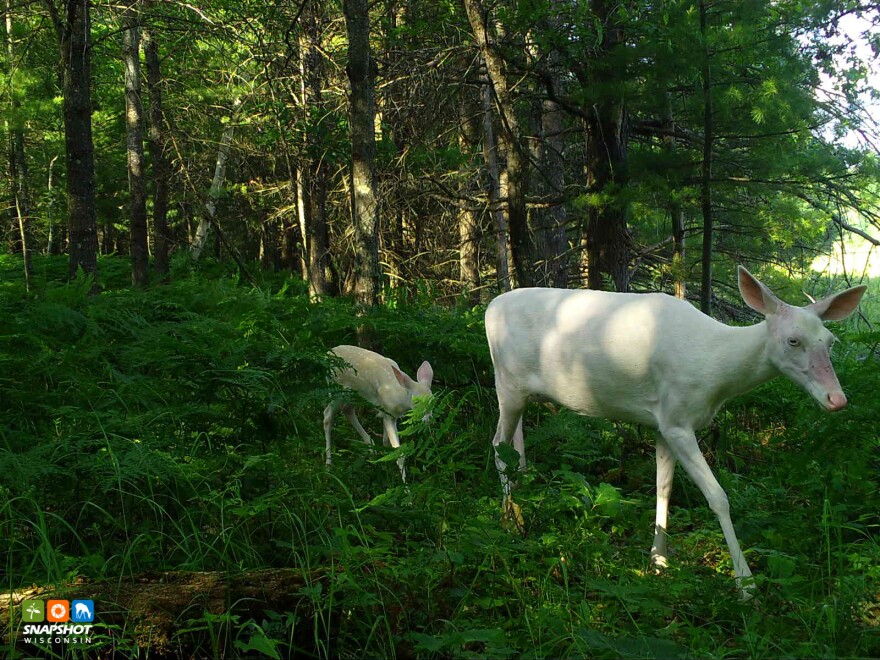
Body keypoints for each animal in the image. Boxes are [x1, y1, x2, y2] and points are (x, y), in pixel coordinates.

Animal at [324, 344, 434, 482]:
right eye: (417, 401)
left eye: (433, 400)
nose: (429, 419)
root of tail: (327, 354)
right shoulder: (388, 412)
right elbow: (399, 453)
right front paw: (405, 485)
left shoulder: (389, 414)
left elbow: (385, 441)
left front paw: (386, 465)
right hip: (337, 388)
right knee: (327, 415)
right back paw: (328, 466)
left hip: (352, 393)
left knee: (347, 409)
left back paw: (371, 446)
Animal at [485, 266, 866, 598]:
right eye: (793, 340)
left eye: (830, 341)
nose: (837, 399)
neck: (716, 370)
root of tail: (489, 308)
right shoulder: (678, 419)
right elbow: (717, 497)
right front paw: (746, 585)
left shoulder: (663, 421)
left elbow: (663, 487)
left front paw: (658, 559)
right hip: (507, 380)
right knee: (497, 442)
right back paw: (510, 520)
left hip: (520, 391)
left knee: (514, 442)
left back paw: (522, 490)